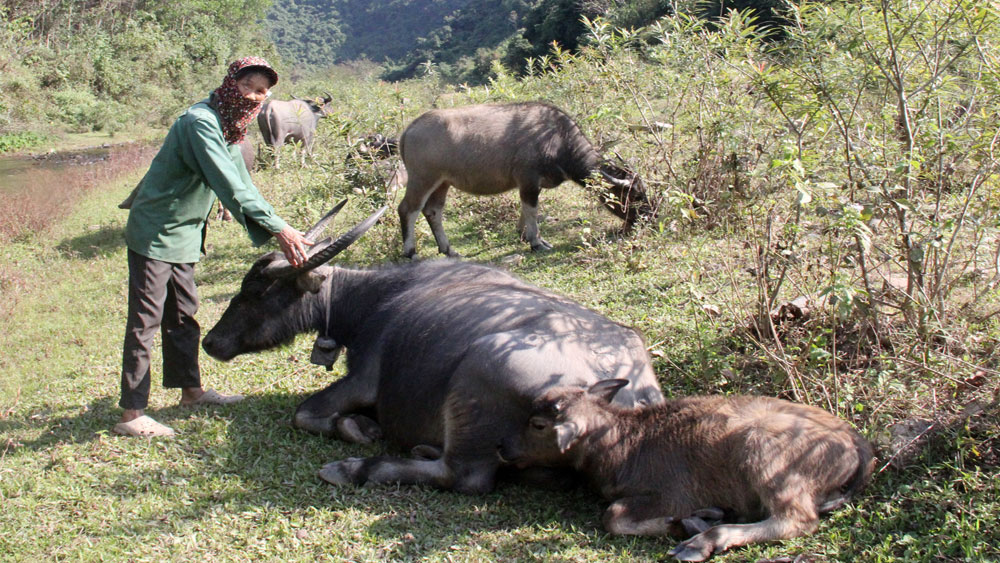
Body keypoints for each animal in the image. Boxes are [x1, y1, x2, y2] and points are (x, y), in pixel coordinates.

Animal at [200, 205, 664, 496]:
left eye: (255, 291)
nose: (210, 342)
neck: (373, 299)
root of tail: (627, 392)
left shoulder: (362, 380)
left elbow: (305, 414)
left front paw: (360, 429)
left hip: (474, 378)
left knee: (463, 476)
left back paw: (351, 469)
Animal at [394, 102, 660, 258]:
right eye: (635, 195)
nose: (650, 216)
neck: (557, 139)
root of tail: (408, 130)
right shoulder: (529, 181)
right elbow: (532, 210)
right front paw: (536, 242)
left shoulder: (526, 184)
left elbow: (525, 210)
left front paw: (524, 235)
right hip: (422, 178)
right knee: (408, 209)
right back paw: (411, 251)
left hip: (443, 183)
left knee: (433, 211)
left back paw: (448, 249)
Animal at [500, 382, 876, 560]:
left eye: (537, 424)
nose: (502, 449)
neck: (626, 444)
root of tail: (857, 445)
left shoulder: (671, 495)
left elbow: (613, 516)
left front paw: (687, 523)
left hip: (763, 455)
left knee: (798, 520)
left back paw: (703, 540)